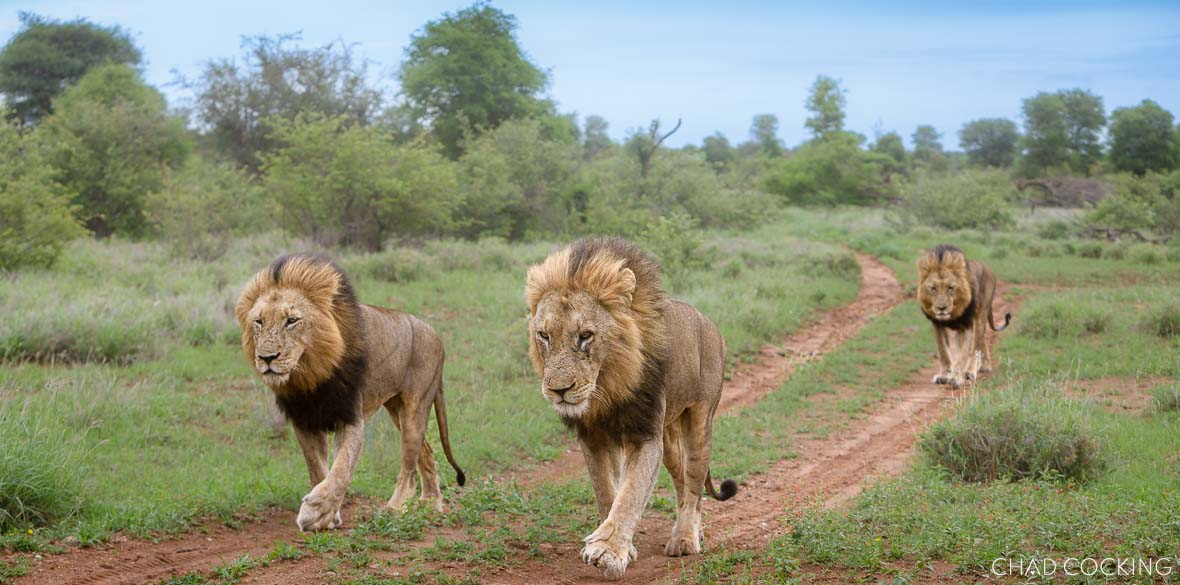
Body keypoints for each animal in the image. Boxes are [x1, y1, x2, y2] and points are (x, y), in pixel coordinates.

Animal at [236, 255, 465, 532]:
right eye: (258, 321)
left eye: (291, 321)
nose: (267, 358)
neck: (310, 376)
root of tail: (436, 335)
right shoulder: (304, 421)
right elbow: (317, 469)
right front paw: (329, 516)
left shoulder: (350, 417)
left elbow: (341, 470)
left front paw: (315, 511)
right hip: (395, 409)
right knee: (427, 453)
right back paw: (431, 503)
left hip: (415, 407)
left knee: (409, 469)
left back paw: (394, 509)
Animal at [525, 237, 737, 580]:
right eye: (544, 335)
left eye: (585, 336)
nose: (559, 390)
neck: (606, 387)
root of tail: (707, 320)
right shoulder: (593, 437)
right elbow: (607, 492)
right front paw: (621, 547)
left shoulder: (645, 435)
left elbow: (631, 493)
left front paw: (608, 551)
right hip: (669, 438)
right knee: (682, 482)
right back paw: (695, 530)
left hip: (699, 422)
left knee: (693, 484)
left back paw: (685, 538)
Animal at [917, 244, 1012, 388]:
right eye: (933, 288)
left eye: (950, 288)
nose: (941, 308)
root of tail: (989, 269)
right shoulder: (937, 324)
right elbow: (944, 352)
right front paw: (944, 375)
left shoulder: (965, 324)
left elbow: (963, 354)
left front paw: (956, 378)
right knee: (982, 341)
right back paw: (985, 366)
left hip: (981, 315)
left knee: (976, 345)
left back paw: (970, 372)